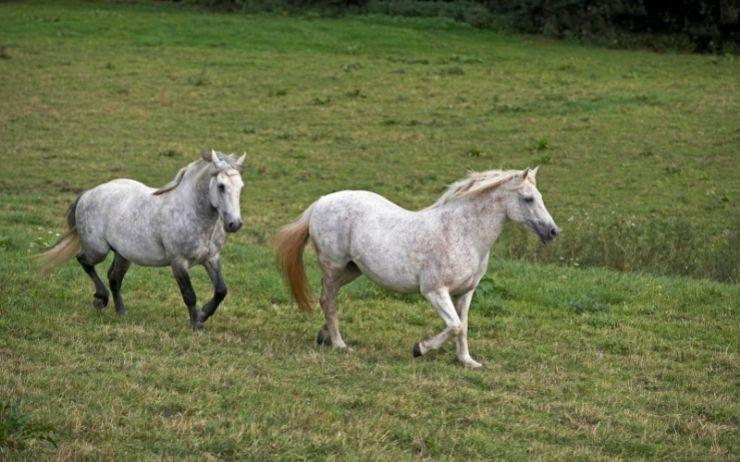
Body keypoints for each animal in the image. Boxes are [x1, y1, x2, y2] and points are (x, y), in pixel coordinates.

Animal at [38, 150, 246, 330]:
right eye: (221, 186)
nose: (234, 224)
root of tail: (88, 194)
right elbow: (189, 295)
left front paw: (203, 315)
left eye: (241, 186)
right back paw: (100, 299)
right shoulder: (178, 262)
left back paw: (121, 312)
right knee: (84, 261)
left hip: (123, 254)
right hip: (98, 250)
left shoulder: (211, 258)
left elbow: (221, 290)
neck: (190, 213)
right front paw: (196, 324)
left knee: (114, 278)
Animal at [276, 168, 556, 366]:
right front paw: (419, 349)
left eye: (540, 197)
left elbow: (463, 326)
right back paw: (339, 344)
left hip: (351, 269)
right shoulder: (434, 291)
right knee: (328, 300)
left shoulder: (465, 292)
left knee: (326, 298)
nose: (553, 232)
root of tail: (321, 202)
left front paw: (467, 361)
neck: (462, 232)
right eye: (528, 199)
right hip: (334, 267)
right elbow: (454, 326)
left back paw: (323, 336)